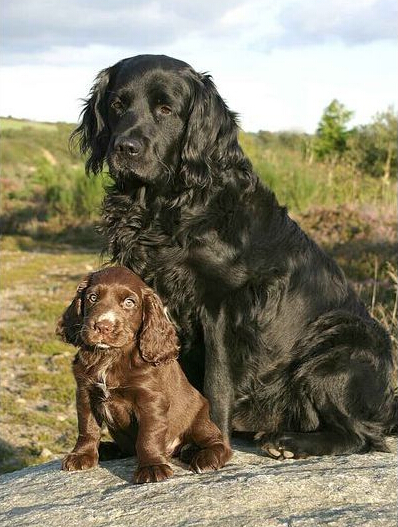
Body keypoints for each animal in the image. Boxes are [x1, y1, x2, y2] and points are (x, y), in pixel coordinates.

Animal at [56, 266, 230, 484]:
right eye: (92, 297)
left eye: (129, 302)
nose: (103, 326)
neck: (110, 356)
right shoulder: (85, 392)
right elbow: (87, 427)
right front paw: (82, 455)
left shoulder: (150, 400)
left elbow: (149, 435)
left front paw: (152, 467)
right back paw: (107, 449)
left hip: (199, 417)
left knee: (219, 443)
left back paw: (205, 457)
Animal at [73, 53, 396, 458]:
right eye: (117, 105)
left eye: (166, 109)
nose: (125, 147)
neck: (169, 205)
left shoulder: (223, 306)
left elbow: (216, 382)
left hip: (338, 349)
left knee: (359, 435)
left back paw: (286, 443)